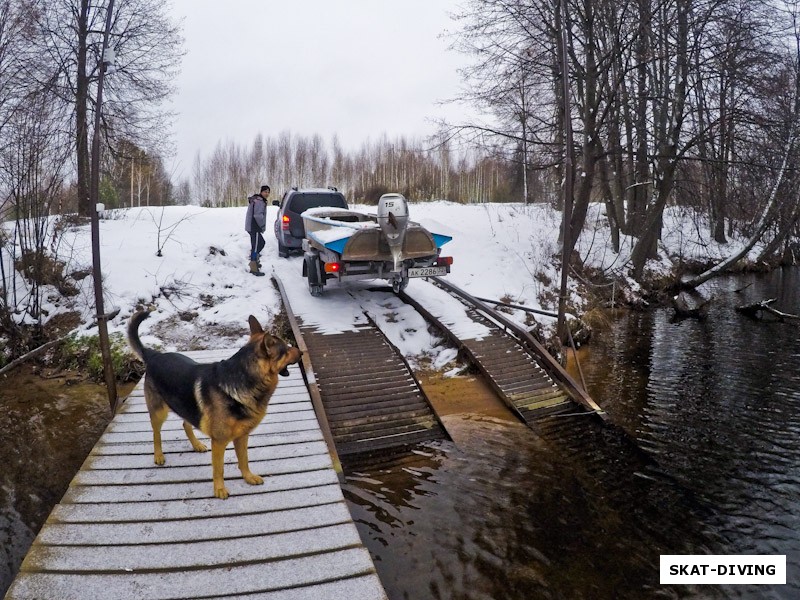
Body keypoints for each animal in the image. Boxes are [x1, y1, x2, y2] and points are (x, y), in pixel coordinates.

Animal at [128, 312, 304, 500]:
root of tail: (153, 355)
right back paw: (159, 455)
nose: (302, 352)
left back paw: (197, 445)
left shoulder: (242, 437)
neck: (244, 377)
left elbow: (244, 460)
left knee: (185, 424)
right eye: (287, 350)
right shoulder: (219, 442)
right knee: (156, 433)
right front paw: (219, 489)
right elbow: (219, 469)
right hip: (159, 412)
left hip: (187, 407)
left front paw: (248, 477)